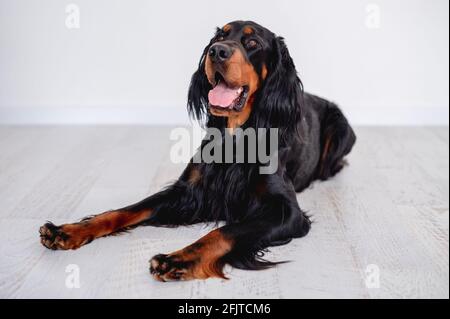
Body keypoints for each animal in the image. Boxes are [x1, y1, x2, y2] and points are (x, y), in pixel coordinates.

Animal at [39, 20, 356, 282]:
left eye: (253, 43)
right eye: (219, 36)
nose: (216, 52)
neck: (236, 137)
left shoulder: (286, 212)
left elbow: (224, 232)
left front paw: (178, 259)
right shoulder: (189, 191)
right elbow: (128, 209)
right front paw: (69, 230)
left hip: (341, 128)